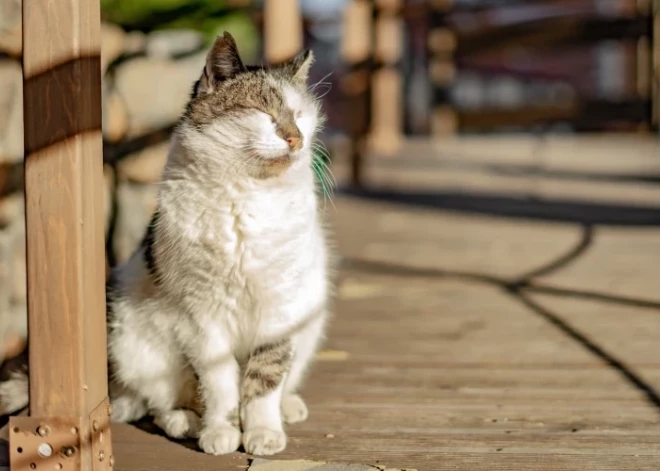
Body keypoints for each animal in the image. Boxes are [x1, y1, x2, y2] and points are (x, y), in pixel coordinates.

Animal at [0, 30, 332, 458]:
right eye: (264, 112)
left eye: (301, 115)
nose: (296, 138)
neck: (247, 199)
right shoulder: (203, 315)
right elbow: (221, 382)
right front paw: (222, 430)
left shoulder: (281, 309)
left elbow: (265, 379)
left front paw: (262, 432)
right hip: (137, 342)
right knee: (151, 404)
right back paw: (186, 421)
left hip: (311, 322)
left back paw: (287, 406)